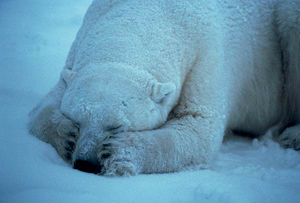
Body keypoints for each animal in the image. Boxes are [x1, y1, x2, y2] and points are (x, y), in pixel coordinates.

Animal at [27, 0, 298, 175]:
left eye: (116, 126)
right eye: (77, 119)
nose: (86, 163)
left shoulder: (207, 58)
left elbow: (199, 127)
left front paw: (117, 152)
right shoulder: (80, 45)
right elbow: (44, 105)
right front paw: (66, 137)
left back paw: (292, 135)